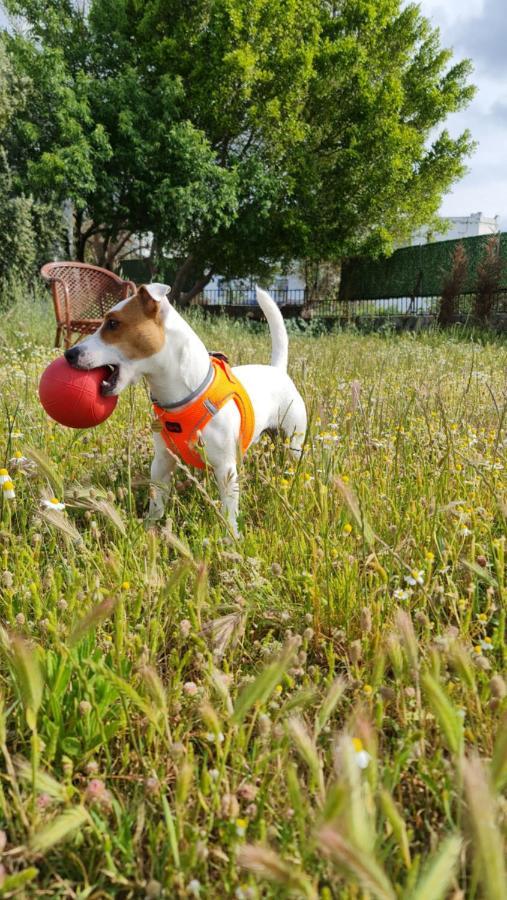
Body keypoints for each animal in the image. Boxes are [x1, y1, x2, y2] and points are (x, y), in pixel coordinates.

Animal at [65, 284, 308, 536]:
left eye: (113, 323)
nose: (69, 354)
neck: (184, 395)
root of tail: (277, 369)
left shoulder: (225, 469)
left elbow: (229, 510)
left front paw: (231, 538)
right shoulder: (162, 462)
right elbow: (156, 502)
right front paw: (150, 531)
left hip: (292, 442)